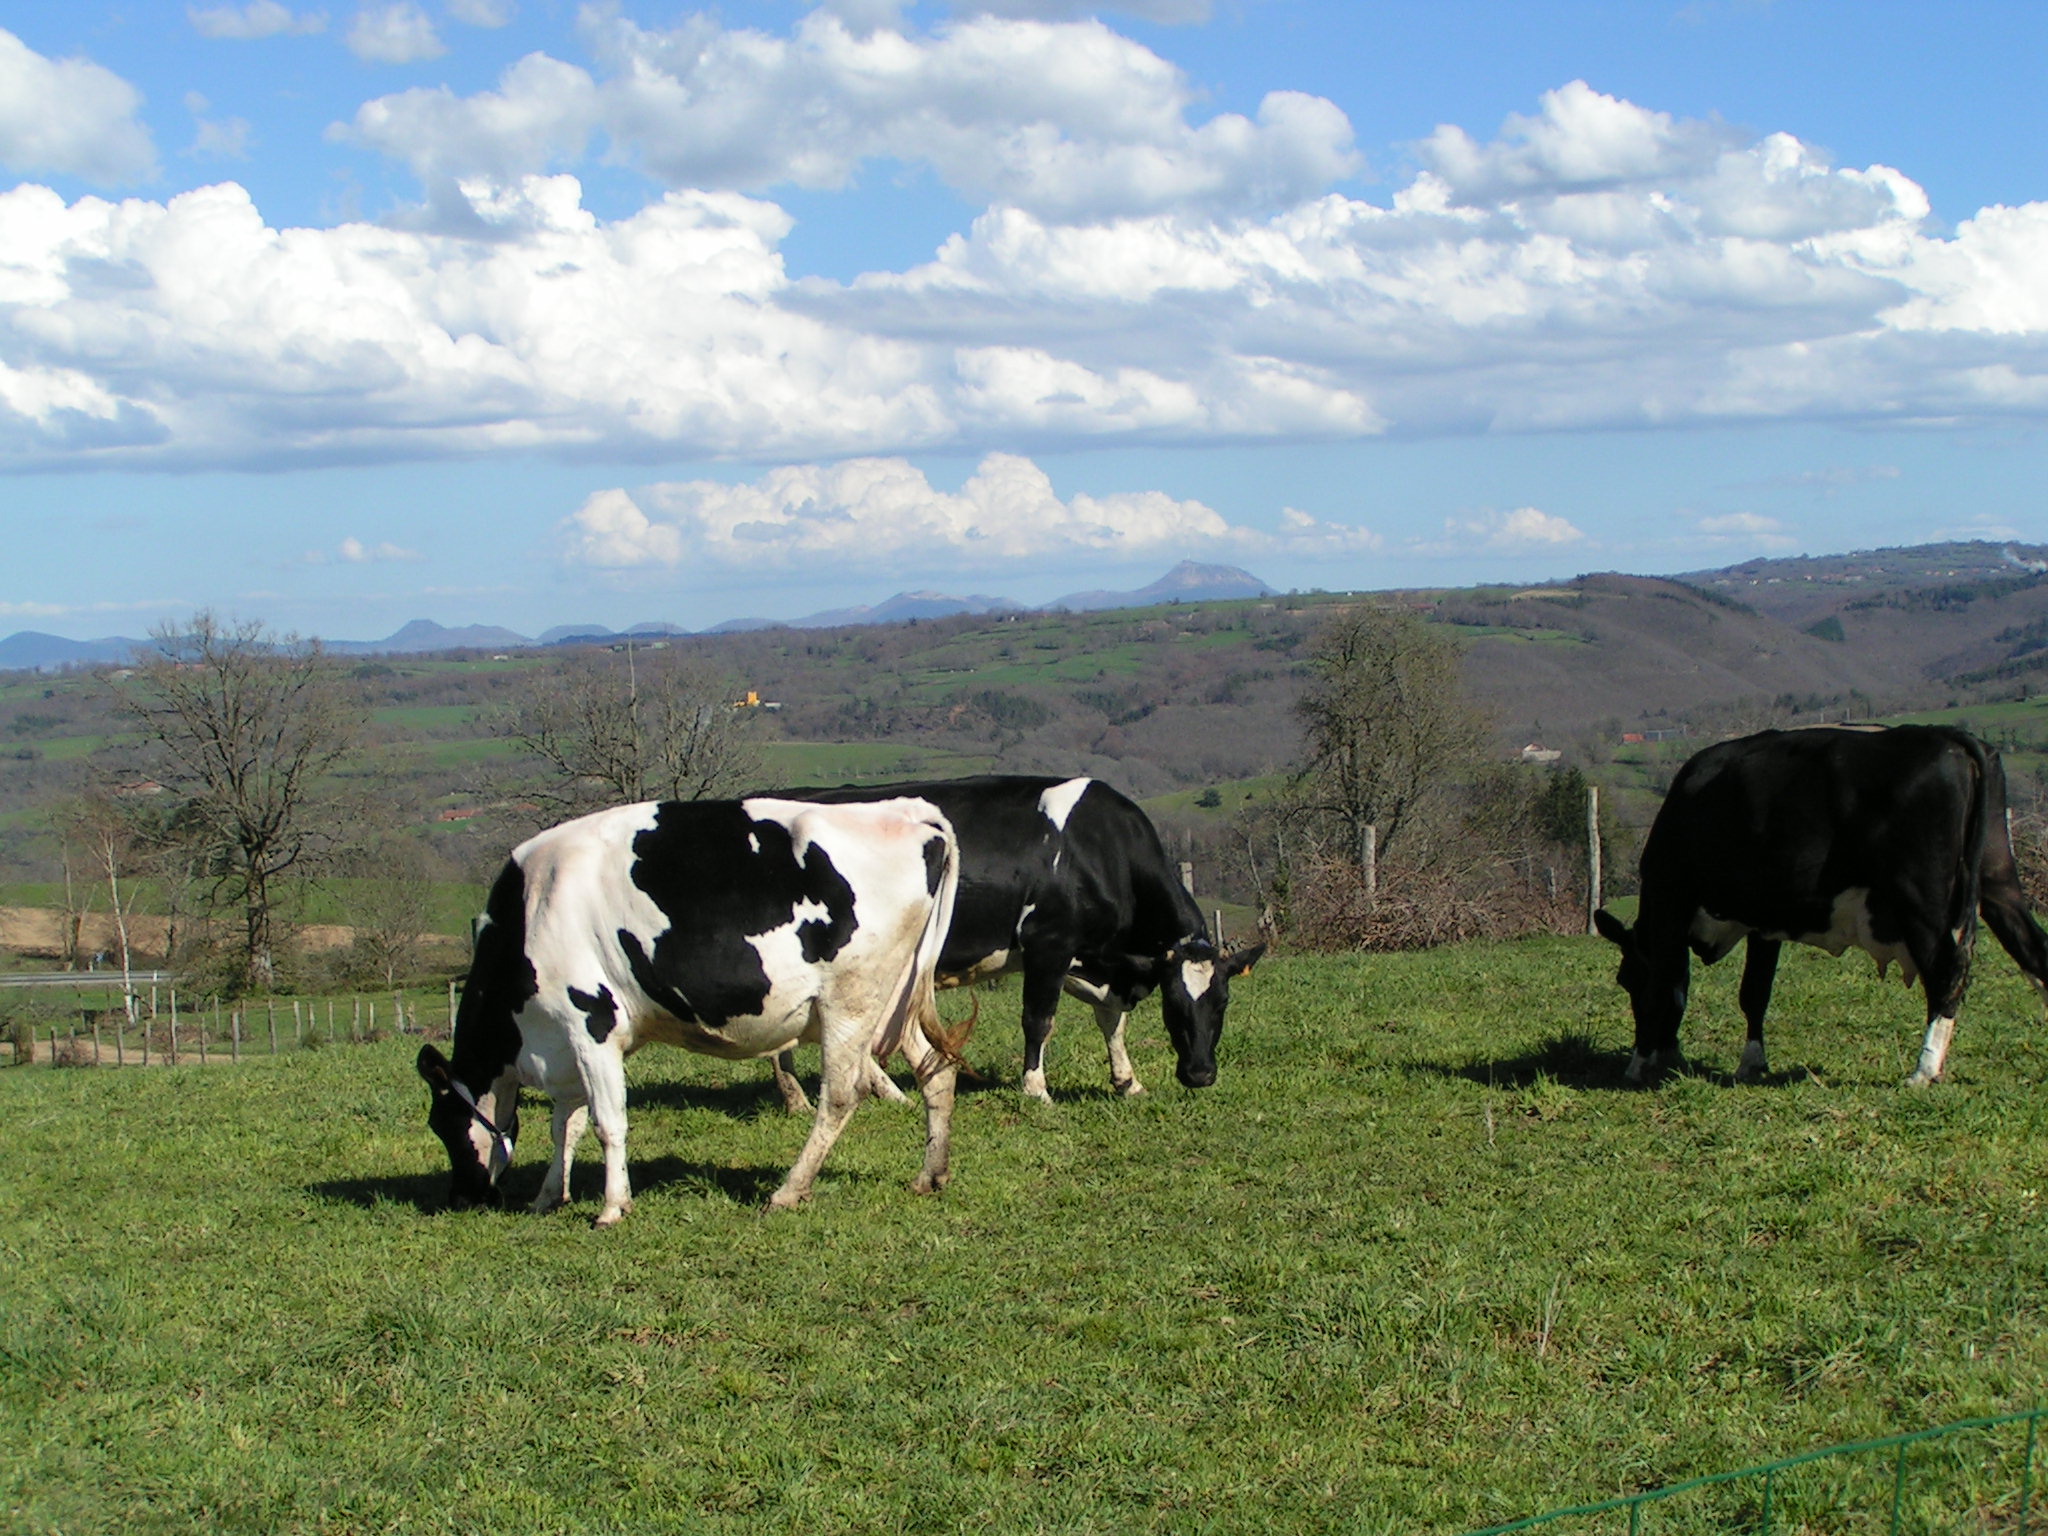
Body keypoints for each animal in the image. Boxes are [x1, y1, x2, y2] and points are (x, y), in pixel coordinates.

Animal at [416, 795, 961, 1226]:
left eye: (443, 1125)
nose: (460, 1198)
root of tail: (903, 810)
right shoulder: (567, 1044)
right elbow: (564, 1125)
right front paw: (549, 1196)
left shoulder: (591, 1021)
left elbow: (606, 1121)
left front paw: (612, 1207)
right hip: (896, 1001)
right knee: (936, 1070)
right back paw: (930, 1174)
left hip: (851, 1000)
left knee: (842, 1096)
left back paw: (788, 1190)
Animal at [765, 775, 1263, 1105]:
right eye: (1173, 1003)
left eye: (1222, 1002)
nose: (1200, 1074)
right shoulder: (1049, 944)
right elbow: (1038, 1021)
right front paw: (1036, 1089)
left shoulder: (1099, 961)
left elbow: (1112, 1022)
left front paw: (1127, 1081)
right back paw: (800, 1099)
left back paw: (882, 1092)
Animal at [1593, 724, 2048, 1087]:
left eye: (1625, 979)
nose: (1661, 1050)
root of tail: (1947, 736)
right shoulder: (1763, 921)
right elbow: (1753, 992)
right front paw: (1750, 1064)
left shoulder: (1671, 897)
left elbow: (1662, 986)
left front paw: (1640, 1063)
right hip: (1997, 880)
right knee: (2034, 952)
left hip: (1919, 898)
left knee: (1946, 972)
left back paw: (1923, 1070)